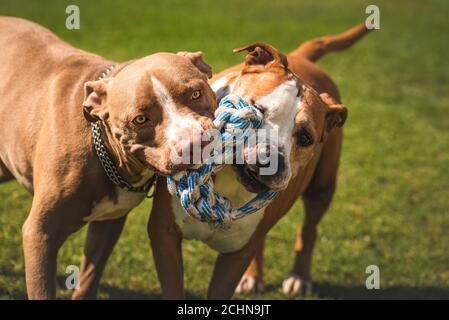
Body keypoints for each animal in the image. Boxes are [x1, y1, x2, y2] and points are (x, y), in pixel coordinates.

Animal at [0, 16, 217, 298]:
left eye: (195, 94)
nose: (192, 144)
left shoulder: (109, 222)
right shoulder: (41, 234)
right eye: (140, 119)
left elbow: (88, 280)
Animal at [149, 23, 370, 298]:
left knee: (309, 229)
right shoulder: (164, 234)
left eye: (305, 137)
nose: (271, 158)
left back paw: (298, 277)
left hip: (322, 187)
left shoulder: (236, 257)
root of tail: (301, 56)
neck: (228, 183)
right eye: (257, 110)